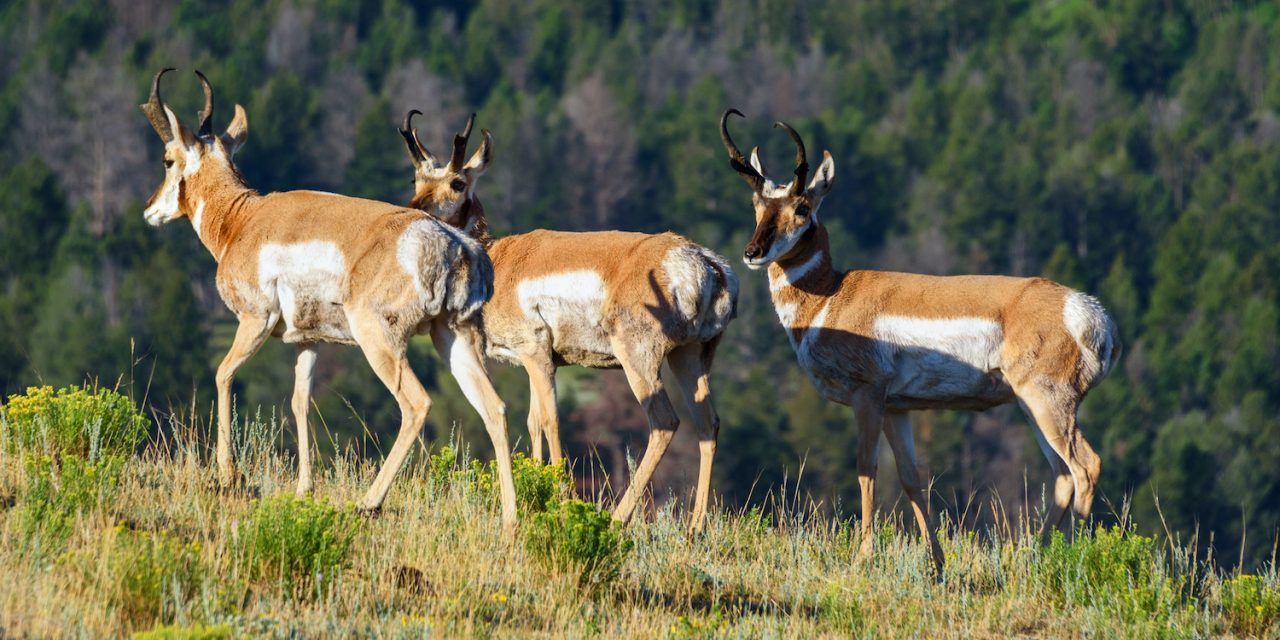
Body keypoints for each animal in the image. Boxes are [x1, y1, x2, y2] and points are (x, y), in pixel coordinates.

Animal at [138, 69, 518, 527]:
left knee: (417, 404)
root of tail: (454, 242)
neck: (242, 219)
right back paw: (511, 520)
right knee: (494, 407)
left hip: (380, 340)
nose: (148, 210)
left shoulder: (254, 320)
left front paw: (228, 476)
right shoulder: (308, 341)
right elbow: (300, 401)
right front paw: (304, 489)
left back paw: (369, 502)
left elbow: (223, 374)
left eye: (167, 159)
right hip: (452, 337)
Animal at [397, 111, 738, 532]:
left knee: (664, 422)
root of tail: (705, 262)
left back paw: (618, 518)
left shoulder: (537, 354)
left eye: (457, 182)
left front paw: (559, 502)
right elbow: (533, 421)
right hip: (690, 356)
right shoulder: (533, 362)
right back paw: (695, 528)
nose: (414, 208)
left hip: (640, 358)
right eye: (416, 179)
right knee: (708, 423)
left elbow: (551, 420)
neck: (499, 259)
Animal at [719, 110, 1120, 570]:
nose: (752, 252)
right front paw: (937, 562)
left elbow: (866, 468)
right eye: (757, 204)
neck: (832, 295)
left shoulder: (868, 396)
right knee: (1062, 476)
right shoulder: (898, 408)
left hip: (1048, 401)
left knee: (1085, 467)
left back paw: (1075, 558)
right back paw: (1036, 558)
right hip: (1031, 406)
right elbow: (912, 479)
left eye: (802, 207)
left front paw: (863, 556)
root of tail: (1090, 313)